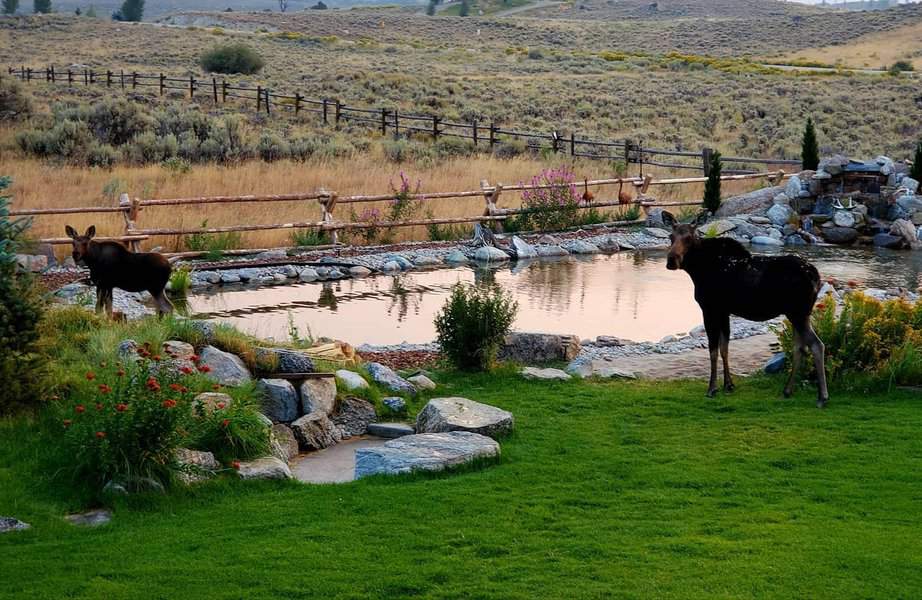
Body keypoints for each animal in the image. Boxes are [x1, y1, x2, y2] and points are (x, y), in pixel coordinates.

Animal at [661, 211, 829, 408]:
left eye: (688, 238)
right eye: (670, 237)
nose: (671, 260)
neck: (697, 271)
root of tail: (816, 277)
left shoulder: (710, 308)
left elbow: (713, 349)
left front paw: (712, 388)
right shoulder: (723, 311)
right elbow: (724, 347)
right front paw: (728, 385)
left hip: (798, 312)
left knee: (817, 345)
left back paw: (822, 396)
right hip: (798, 314)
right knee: (799, 347)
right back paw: (788, 390)